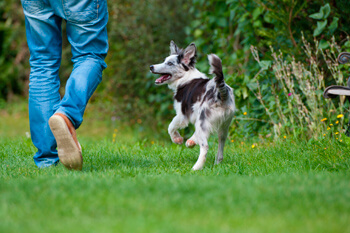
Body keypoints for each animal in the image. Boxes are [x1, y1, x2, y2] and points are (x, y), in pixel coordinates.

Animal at [150, 41, 235, 170]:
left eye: (169, 63)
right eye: (164, 60)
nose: (151, 67)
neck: (185, 77)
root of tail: (221, 93)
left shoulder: (182, 114)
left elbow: (171, 126)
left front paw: (177, 139)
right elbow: (195, 133)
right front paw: (191, 141)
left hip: (204, 120)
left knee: (205, 146)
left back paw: (196, 167)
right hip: (224, 125)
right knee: (221, 144)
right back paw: (217, 163)